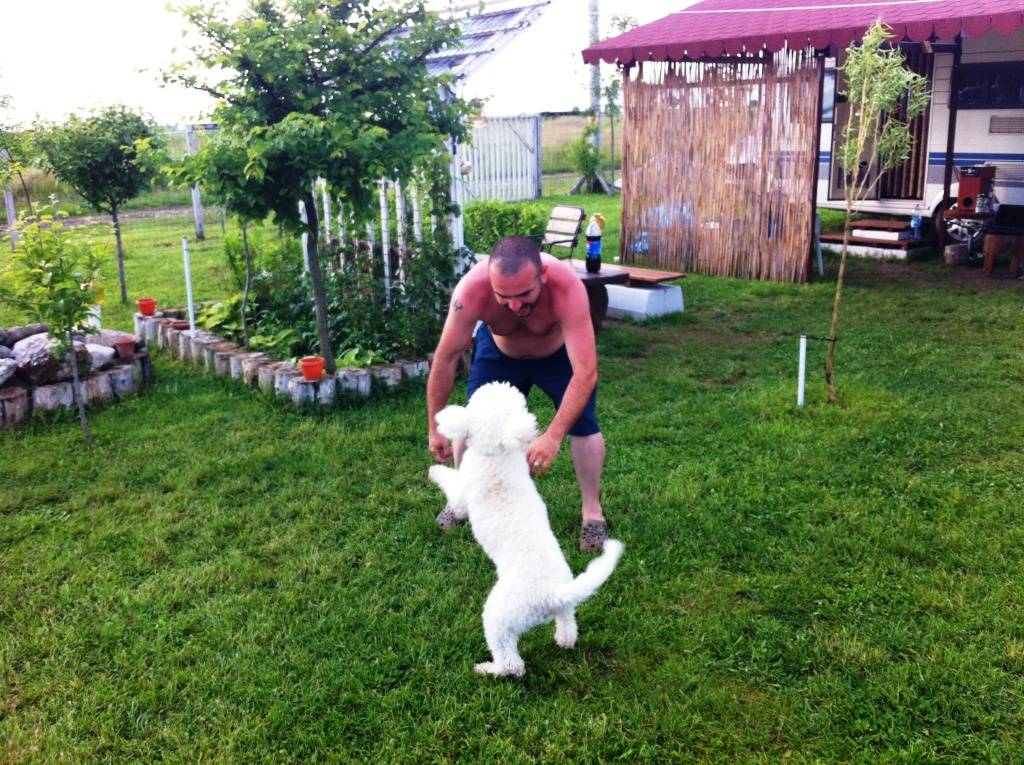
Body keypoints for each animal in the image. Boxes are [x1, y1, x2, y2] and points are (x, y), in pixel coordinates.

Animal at [429, 381, 624, 677]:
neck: (496, 452)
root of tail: (551, 594)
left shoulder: (462, 497)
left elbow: (451, 481)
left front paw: (434, 470)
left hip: (499, 617)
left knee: (513, 664)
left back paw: (489, 669)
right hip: (564, 608)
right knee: (568, 628)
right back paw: (563, 640)